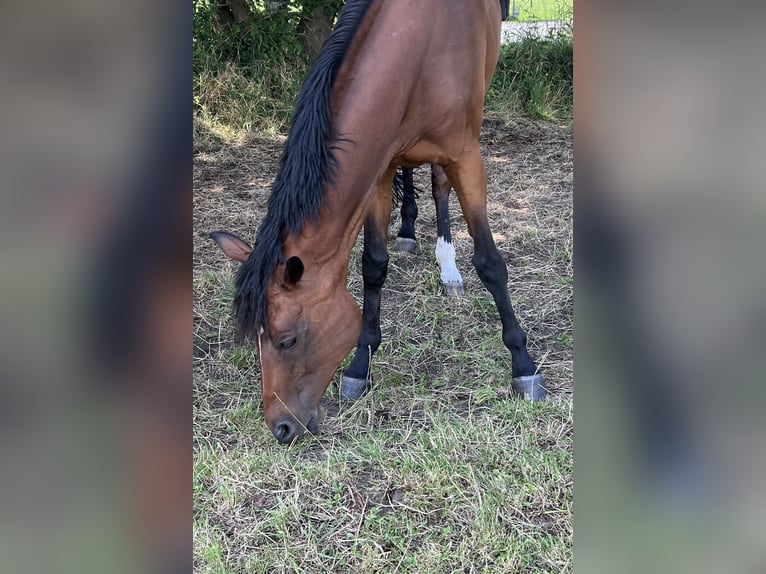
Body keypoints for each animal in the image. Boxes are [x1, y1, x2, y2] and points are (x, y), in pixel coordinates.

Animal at [212, 0, 544, 446]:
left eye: (287, 340)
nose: (280, 428)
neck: (418, 48)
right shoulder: (380, 166)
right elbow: (372, 265)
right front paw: (360, 364)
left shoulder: (466, 158)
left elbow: (490, 263)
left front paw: (523, 365)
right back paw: (406, 232)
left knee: (439, 187)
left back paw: (448, 267)